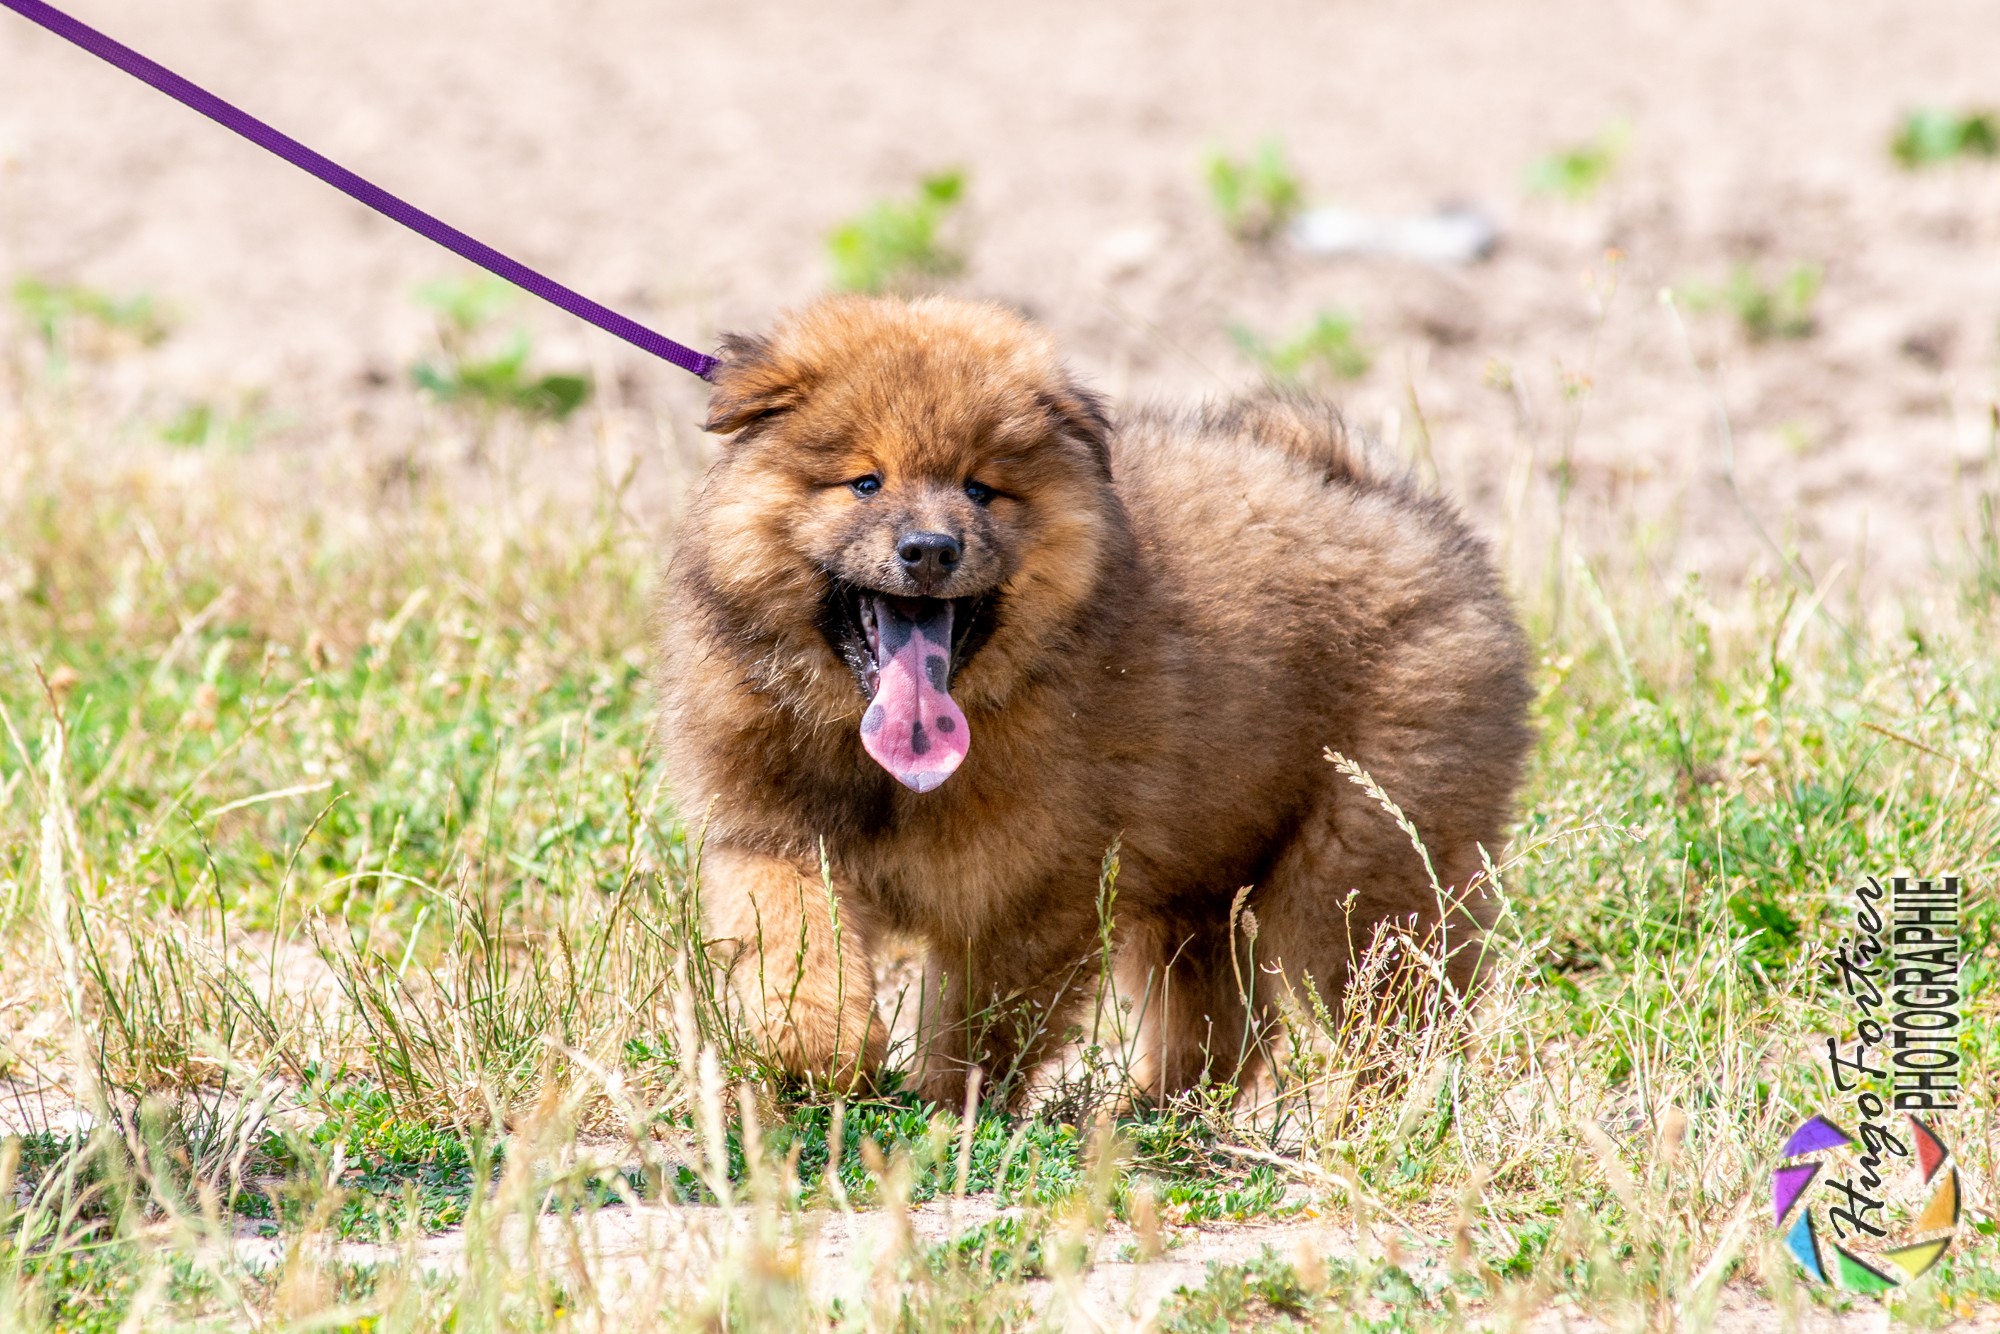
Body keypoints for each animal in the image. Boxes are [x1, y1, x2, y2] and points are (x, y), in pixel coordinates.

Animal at [660, 294, 1528, 1104]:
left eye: (982, 490)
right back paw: (1150, 1115)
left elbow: (979, 1020)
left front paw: (942, 1112)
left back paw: (1368, 1120)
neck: (880, 756)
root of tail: (1395, 506)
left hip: (1360, 863)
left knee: (1395, 1014)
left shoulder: (1036, 891)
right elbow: (793, 939)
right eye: (864, 483)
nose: (931, 549)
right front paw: (820, 1052)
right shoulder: (770, 833)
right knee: (1225, 1026)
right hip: (1203, 879)